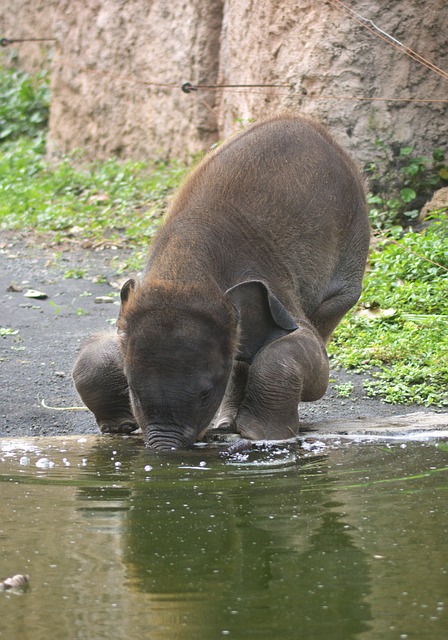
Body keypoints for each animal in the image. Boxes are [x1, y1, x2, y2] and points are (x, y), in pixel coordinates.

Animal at [73, 114, 370, 450]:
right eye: (133, 390)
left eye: (206, 394)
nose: (164, 453)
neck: (186, 271)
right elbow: (95, 353)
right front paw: (120, 428)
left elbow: (311, 355)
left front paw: (263, 436)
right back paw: (227, 424)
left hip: (351, 258)